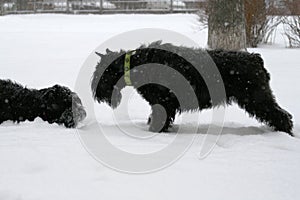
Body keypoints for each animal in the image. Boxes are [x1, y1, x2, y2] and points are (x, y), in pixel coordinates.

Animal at [91, 41, 292, 136]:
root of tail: (255, 58)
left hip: (256, 98)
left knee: (281, 115)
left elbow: (159, 120)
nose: (95, 92)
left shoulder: (163, 103)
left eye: (102, 72)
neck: (135, 65)